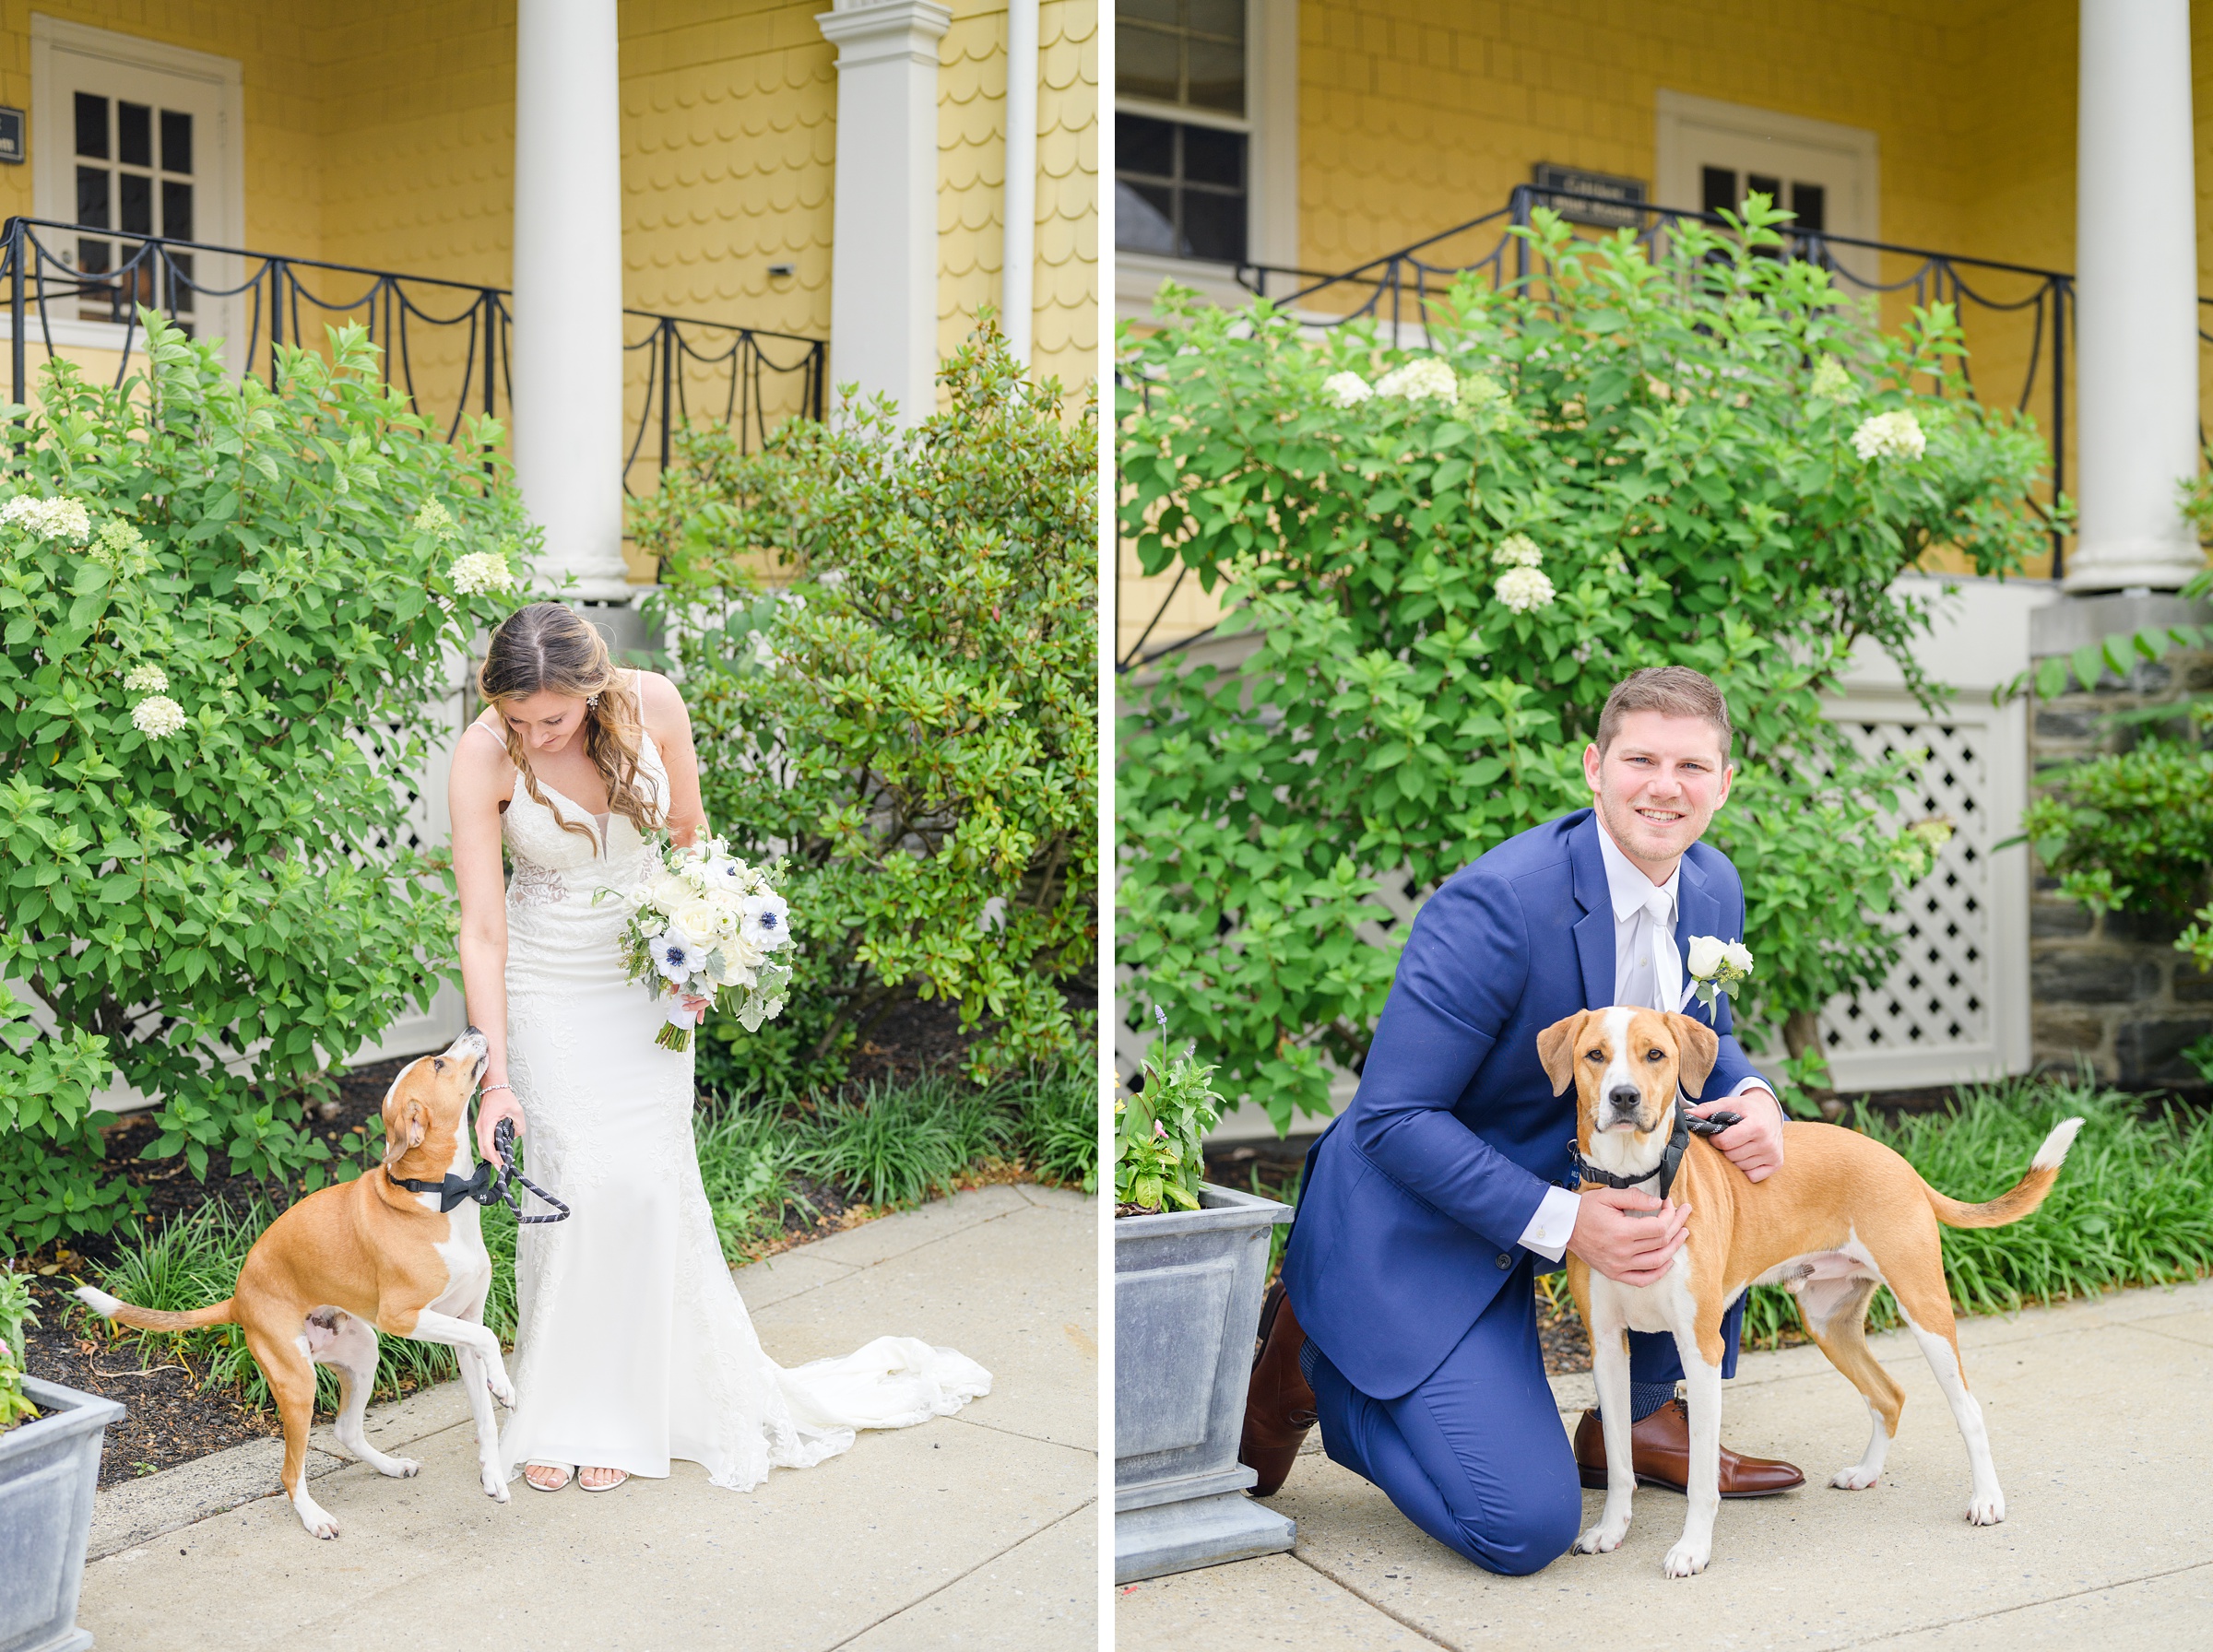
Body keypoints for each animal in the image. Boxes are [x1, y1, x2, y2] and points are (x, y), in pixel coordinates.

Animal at [77, 1026, 513, 1548]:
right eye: (439, 1065)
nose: (473, 1030)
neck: (437, 1195)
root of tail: (238, 1298)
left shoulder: (463, 1323)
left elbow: (484, 1409)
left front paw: (493, 1472)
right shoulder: (405, 1318)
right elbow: (490, 1342)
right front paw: (506, 1386)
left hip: (362, 1351)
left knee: (346, 1431)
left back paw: (388, 1465)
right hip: (299, 1383)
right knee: (290, 1472)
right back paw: (314, 1516)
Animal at [1540, 999, 2071, 1583]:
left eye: (1655, 1055)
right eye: (1595, 1055)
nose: (1624, 1097)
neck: (1638, 1183)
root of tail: (1901, 1163)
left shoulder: (1701, 1346)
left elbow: (1701, 1475)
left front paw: (1693, 1549)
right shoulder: (1607, 1348)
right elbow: (1619, 1460)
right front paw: (1610, 1531)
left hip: (1924, 1309)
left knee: (1968, 1409)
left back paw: (1987, 1500)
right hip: (1827, 1323)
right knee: (1889, 1395)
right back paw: (1866, 1472)